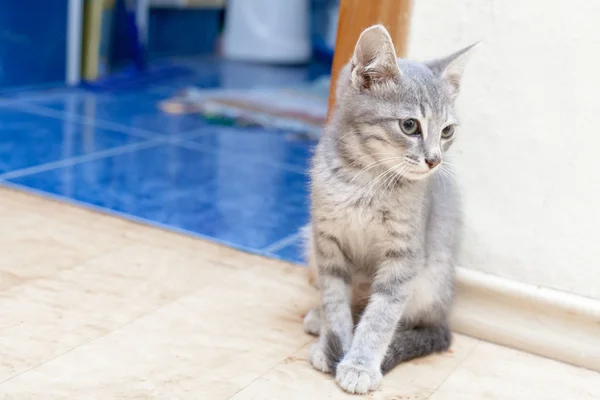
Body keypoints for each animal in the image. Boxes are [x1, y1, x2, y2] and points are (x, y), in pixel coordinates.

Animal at [304, 24, 478, 394]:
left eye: (447, 131)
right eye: (410, 126)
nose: (434, 160)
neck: (365, 179)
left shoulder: (404, 255)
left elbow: (381, 315)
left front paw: (359, 364)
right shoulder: (327, 243)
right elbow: (334, 299)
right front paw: (332, 344)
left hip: (431, 277)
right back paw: (318, 320)